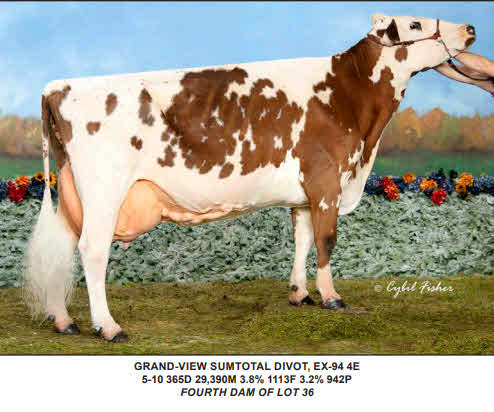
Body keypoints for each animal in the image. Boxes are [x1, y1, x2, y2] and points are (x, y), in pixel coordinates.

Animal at [23, 13, 476, 342]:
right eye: (415, 24)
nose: (470, 28)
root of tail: (58, 87)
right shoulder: (326, 182)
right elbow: (327, 240)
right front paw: (331, 297)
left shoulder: (303, 194)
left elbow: (302, 239)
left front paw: (300, 294)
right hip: (104, 190)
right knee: (92, 251)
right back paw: (109, 327)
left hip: (72, 193)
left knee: (63, 248)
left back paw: (63, 320)